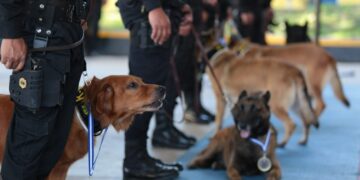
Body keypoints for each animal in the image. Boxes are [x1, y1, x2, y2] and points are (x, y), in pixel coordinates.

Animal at [0, 74, 166, 179]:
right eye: (132, 85)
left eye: (141, 81)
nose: (163, 88)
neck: (82, 112)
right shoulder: (53, 169)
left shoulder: (60, 169)